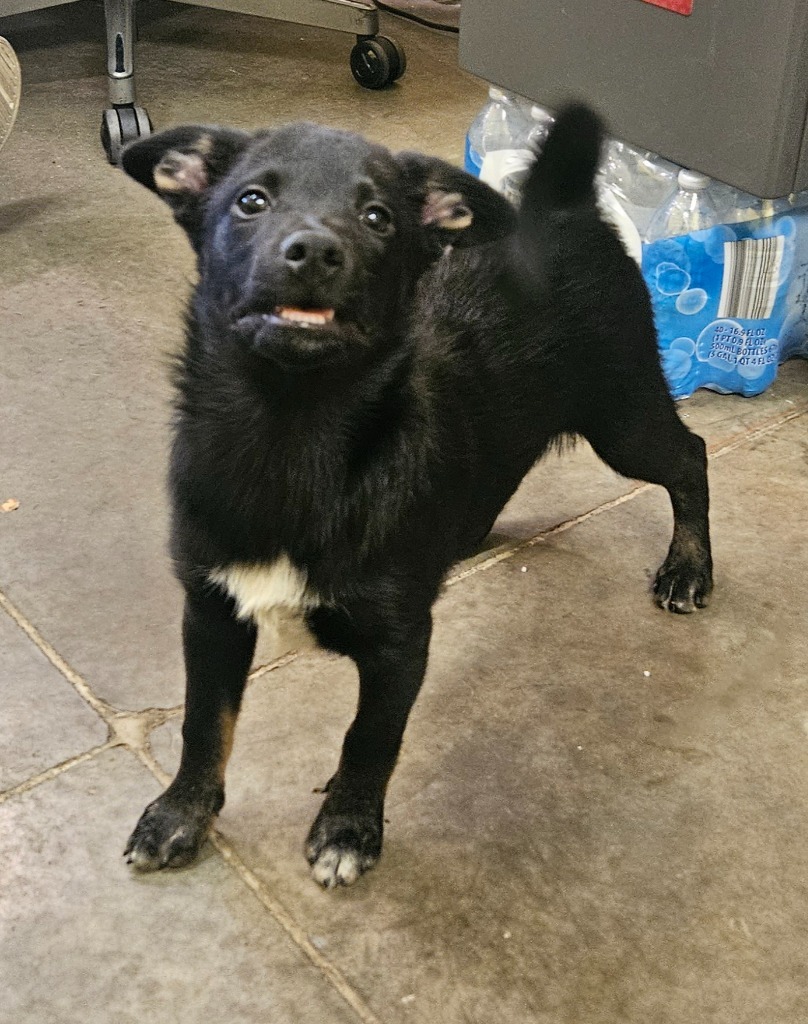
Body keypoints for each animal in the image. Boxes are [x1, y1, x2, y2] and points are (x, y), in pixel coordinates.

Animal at [121, 105, 712, 888]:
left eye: (377, 217)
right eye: (251, 201)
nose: (315, 250)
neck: (291, 431)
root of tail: (563, 208)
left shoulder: (400, 645)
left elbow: (369, 738)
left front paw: (347, 827)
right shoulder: (211, 615)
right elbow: (202, 723)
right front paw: (180, 812)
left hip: (624, 417)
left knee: (691, 458)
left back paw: (689, 568)